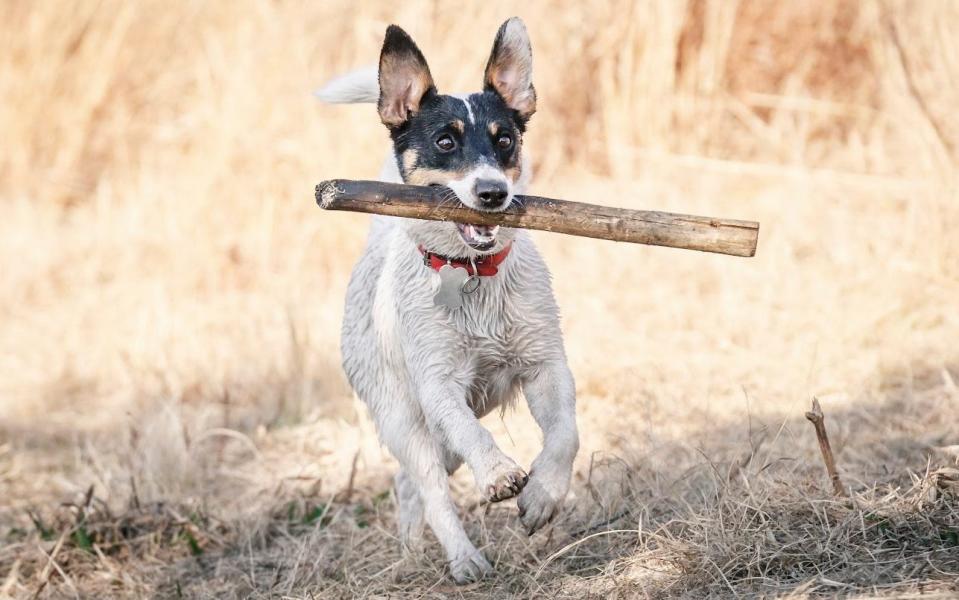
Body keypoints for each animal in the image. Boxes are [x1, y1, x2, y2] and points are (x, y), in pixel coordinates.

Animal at [318, 17, 580, 580]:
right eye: (444, 141)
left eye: (505, 141)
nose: (493, 194)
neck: (471, 275)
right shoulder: (439, 386)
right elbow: (473, 437)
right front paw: (499, 472)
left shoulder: (547, 366)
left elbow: (566, 435)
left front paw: (543, 496)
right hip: (405, 420)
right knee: (430, 485)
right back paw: (462, 559)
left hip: (439, 439)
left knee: (411, 483)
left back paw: (413, 547)